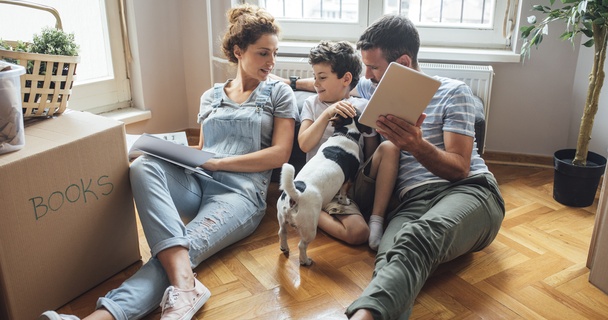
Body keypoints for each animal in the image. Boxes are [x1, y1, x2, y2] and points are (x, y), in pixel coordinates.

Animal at [276, 111, 370, 266]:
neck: (346, 133)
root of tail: (295, 196)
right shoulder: (349, 179)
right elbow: (343, 193)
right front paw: (344, 201)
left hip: (282, 218)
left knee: (282, 233)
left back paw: (284, 247)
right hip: (309, 228)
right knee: (302, 246)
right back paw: (305, 261)